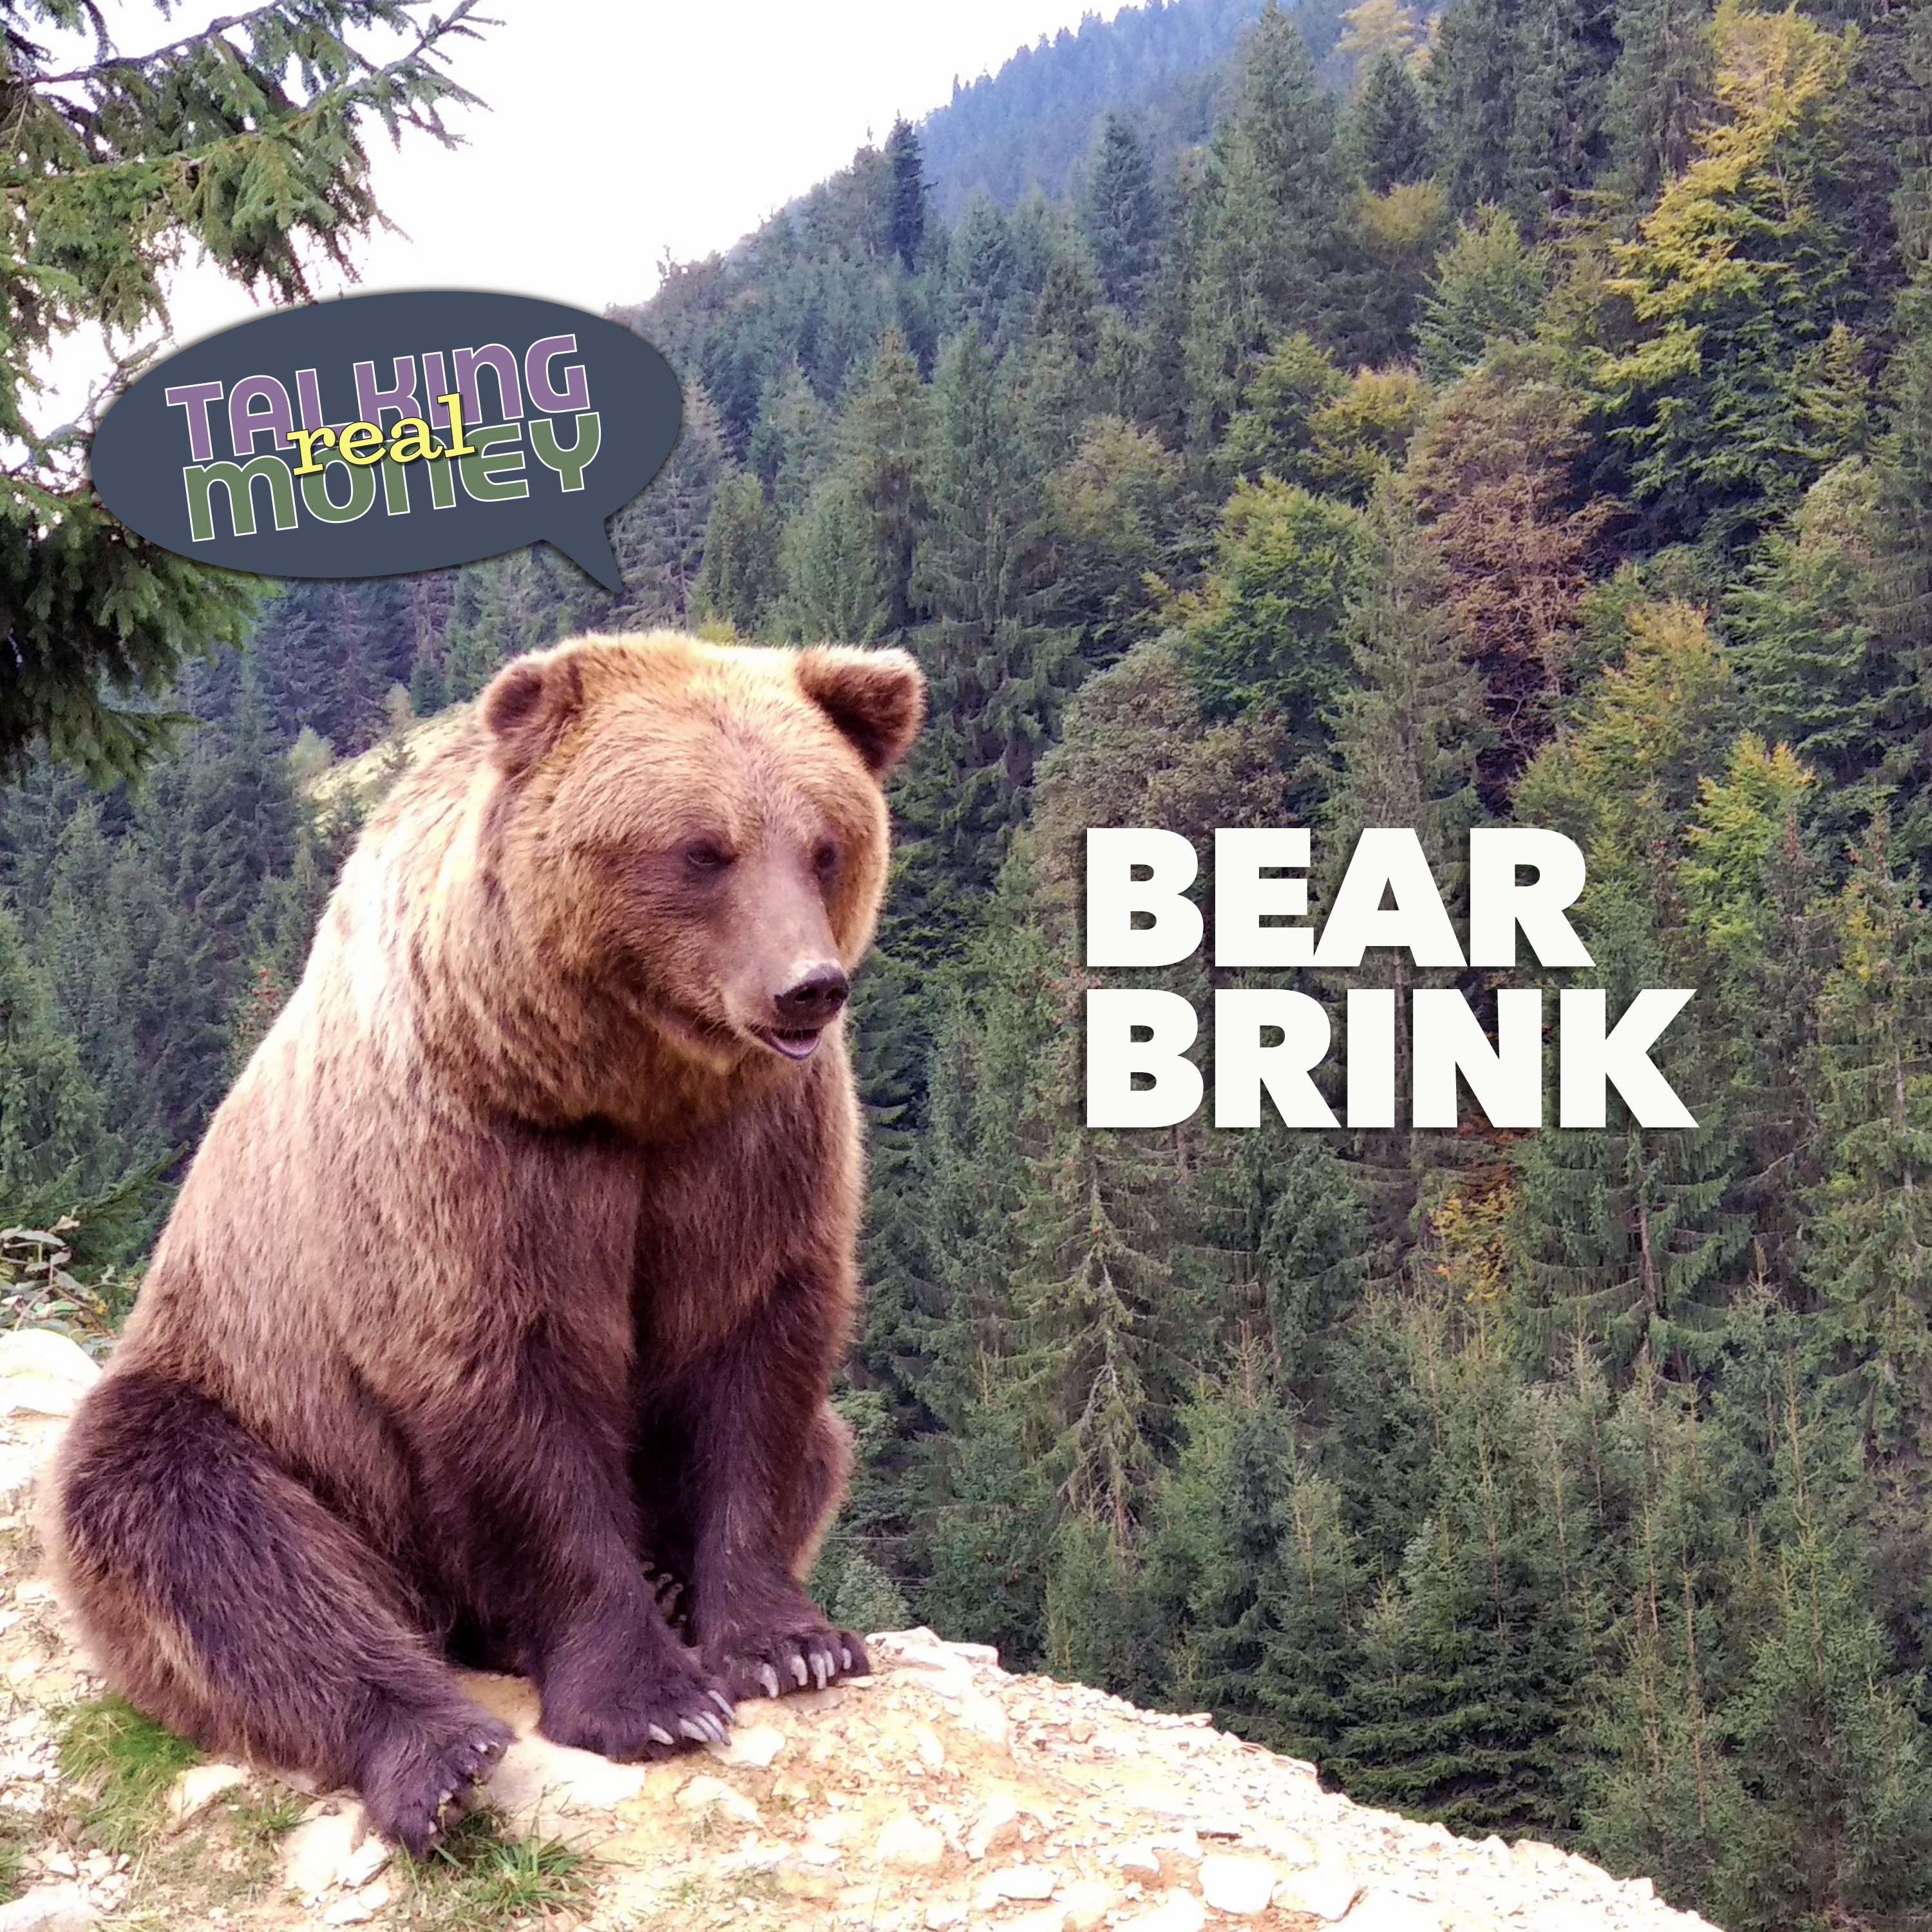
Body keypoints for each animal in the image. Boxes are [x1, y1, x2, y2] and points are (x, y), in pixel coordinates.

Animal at [46, 629, 925, 1854]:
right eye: (702, 850)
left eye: (826, 844)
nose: (807, 988)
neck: (619, 1085)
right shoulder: (474, 1157)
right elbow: (509, 1387)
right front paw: (648, 1700)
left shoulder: (747, 1147)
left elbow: (754, 1356)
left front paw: (788, 1644)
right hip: (260, 1405)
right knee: (201, 1534)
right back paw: (439, 1748)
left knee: (824, 1444)